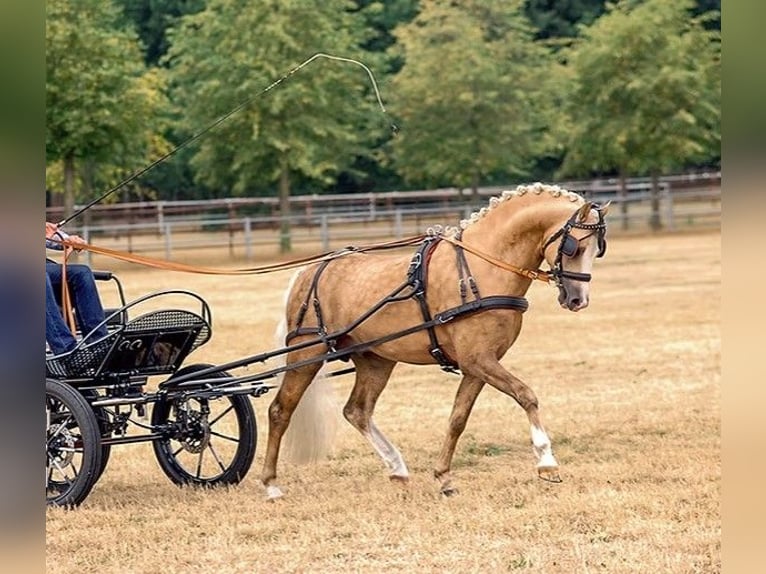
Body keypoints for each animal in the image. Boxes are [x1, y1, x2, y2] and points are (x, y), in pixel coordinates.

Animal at [260, 184, 608, 500]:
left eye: (597, 250)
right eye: (574, 248)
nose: (578, 299)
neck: (482, 268)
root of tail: (308, 271)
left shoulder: (477, 364)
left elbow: (457, 419)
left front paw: (444, 477)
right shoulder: (479, 360)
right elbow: (526, 395)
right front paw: (546, 460)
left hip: (375, 359)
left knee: (357, 411)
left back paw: (397, 468)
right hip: (308, 352)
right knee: (280, 411)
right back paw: (271, 484)